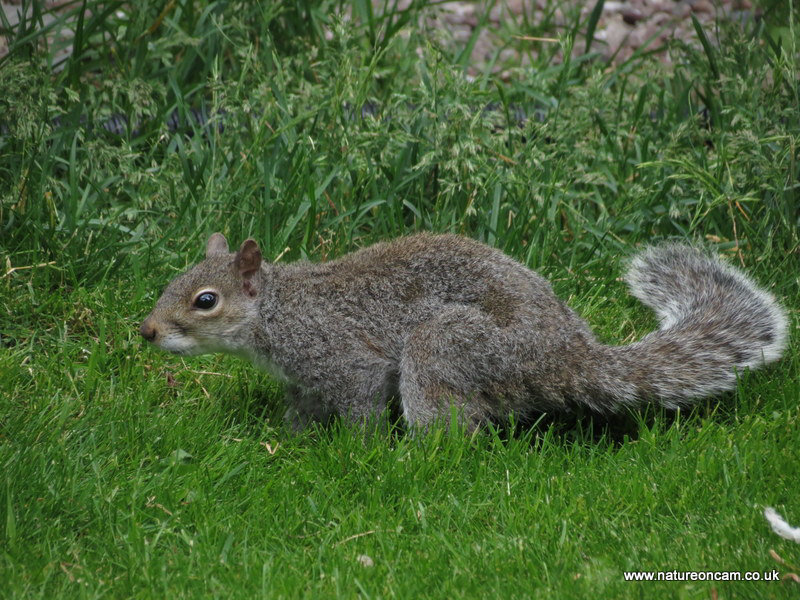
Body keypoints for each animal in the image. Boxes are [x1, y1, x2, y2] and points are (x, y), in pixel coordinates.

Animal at [139, 232, 788, 428]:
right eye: (172, 282)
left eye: (204, 301)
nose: (147, 331)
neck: (278, 309)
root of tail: (567, 355)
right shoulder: (301, 380)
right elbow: (300, 412)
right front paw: (292, 441)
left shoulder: (343, 356)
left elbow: (361, 403)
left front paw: (353, 450)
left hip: (448, 344)